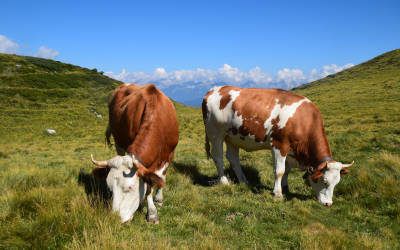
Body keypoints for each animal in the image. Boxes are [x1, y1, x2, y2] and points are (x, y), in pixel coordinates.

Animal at [91, 84, 179, 223]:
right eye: (110, 188)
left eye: (130, 188)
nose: (114, 218)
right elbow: (149, 185)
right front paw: (152, 212)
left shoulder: (170, 153)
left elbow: (161, 177)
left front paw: (157, 203)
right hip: (118, 142)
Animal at [203, 85, 354, 206]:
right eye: (325, 181)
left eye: (337, 183)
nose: (328, 204)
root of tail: (215, 89)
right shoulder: (279, 145)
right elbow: (279, 171)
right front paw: (278, 193)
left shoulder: (290, 151)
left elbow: (287, 170)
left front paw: (285, 187)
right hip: (215, 133)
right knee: (218, 157)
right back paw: (224, 181)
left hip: (233, 137)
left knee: (233, 158)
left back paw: (243, 181)